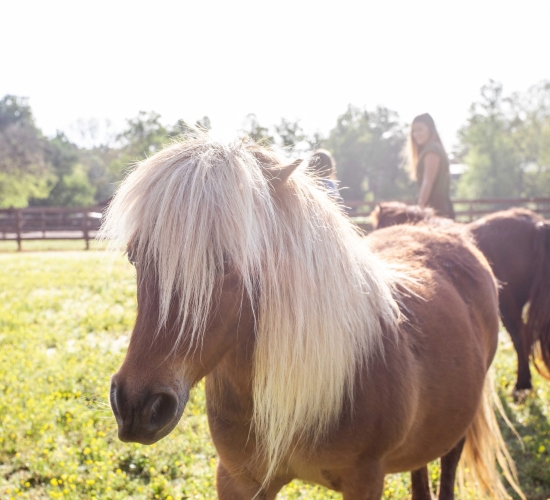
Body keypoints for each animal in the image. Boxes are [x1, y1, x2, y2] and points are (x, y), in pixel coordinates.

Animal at [101, 135, 524, 498]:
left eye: (229, 262)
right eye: (135, 256)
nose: (137, 405)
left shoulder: (364, 481)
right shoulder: (237, 479)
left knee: (448, 463)